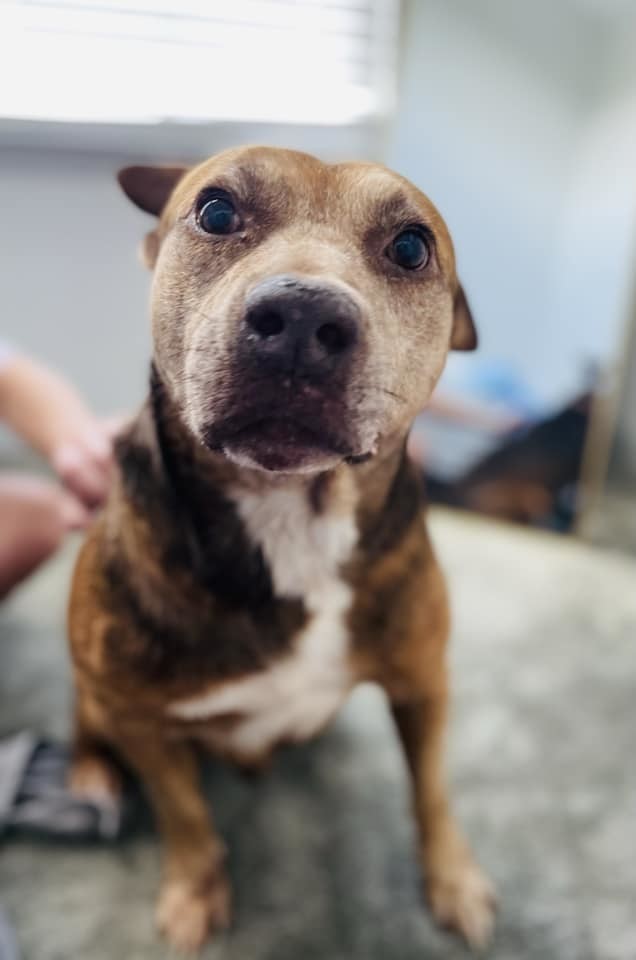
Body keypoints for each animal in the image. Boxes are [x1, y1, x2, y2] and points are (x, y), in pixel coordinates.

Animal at [69, 146, 496, 948]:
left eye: (411, 248)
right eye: (215, 212)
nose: (301, 316)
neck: (294, 520)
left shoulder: (424, 679)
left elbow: (432, 789)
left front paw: (453, 880)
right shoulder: (137, 714)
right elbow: (185, 815)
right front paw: (195, 892)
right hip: (95, 694)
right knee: (86, 726)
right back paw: (89, 778)